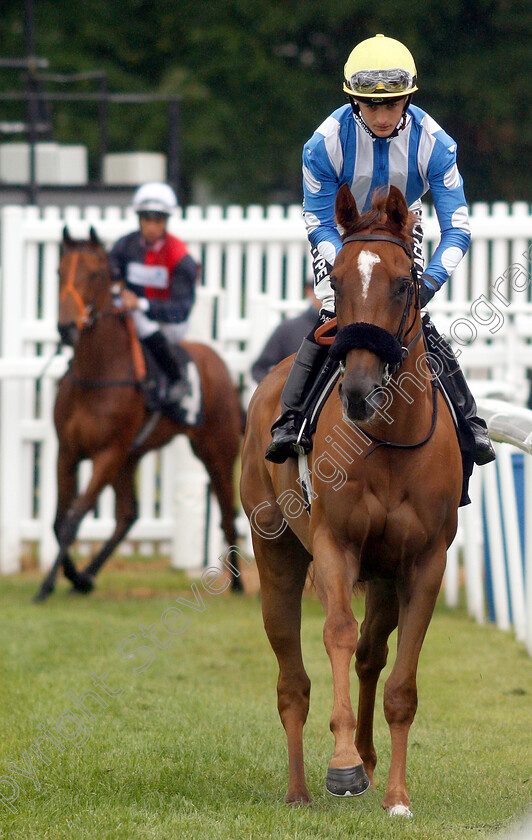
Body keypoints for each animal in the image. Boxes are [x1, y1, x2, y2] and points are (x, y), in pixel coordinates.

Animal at [33, 226, 241, 600]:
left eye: (95, 274)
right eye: (58, 271)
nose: (67, 328)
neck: (96, 375)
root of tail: (217, 361)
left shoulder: (107, 453)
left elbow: (75, 517)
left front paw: (47, 585)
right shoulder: (69, 451)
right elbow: (58, 521)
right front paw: (73, 577)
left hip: (217, 451)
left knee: (228, 512)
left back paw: (239, 584)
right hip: (130, 458)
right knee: (128, 515)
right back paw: (88, 576)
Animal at [239, 187, 464, 816]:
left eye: (404, 284)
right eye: (336, 282)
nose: (359, 390)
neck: (388, 442)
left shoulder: (423, 562)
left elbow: (400, 681)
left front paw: (396, 796)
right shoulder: (334, 544)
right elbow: (336, 633)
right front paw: (341, 765)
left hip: (383, 576)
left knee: (370, 653)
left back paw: (367, 759)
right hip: (276, 555)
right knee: (293, 679)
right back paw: (300, 788)